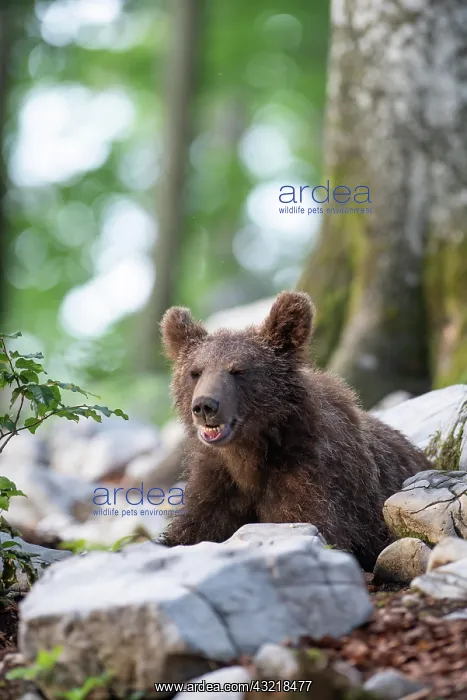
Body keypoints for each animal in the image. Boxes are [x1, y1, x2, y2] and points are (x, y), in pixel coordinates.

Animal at [159, 290, 430, 570]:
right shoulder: (216, 481)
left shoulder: (312, 476)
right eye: (195, 372)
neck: (249, 454)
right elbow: (189, 530)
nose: (204, 405)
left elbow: (313, 524)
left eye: (238, 370)